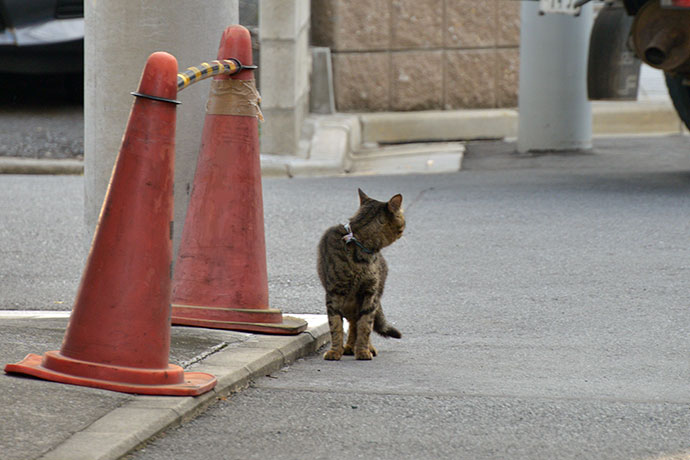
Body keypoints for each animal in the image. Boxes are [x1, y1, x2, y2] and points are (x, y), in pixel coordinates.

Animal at [316, 188, 406, 360]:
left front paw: (363, 350)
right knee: (352, 323)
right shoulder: (334, 294)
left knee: (358, 323)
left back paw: (363, 347)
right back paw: (349, 347)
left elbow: (365, 326)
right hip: (348, 303)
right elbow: (335, 325)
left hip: (371, 297)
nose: (405, 226)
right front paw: (335, 351)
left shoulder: (369, 293)